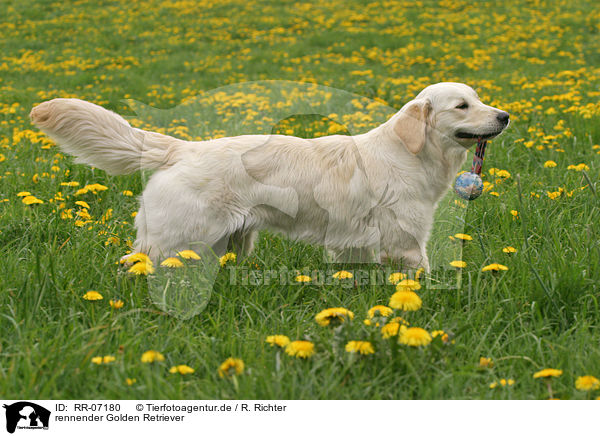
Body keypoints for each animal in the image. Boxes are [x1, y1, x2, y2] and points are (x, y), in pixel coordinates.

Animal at [30, 82, 508, 270]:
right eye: (462, 106)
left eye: (479, 98)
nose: (505, 115)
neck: (409, 153)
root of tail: (181, 148)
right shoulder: (406, 242)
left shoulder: (355, 242)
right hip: (176, 241)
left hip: (228, 242)